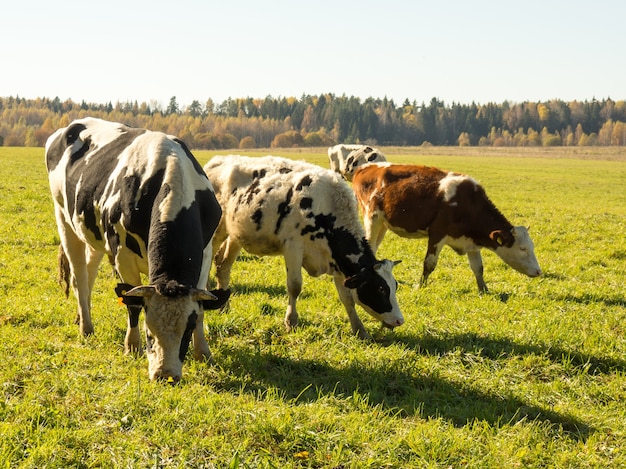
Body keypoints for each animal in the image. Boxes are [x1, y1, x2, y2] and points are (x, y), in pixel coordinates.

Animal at [202, 155, 402, 338]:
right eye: (380, 288)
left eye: (395, 285)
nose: (400, 320)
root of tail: (217, 160)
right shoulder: (293, 247)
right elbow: (295, 286)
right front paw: (291, 321)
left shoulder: (337, 260)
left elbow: (347, 297)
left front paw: (359, 329)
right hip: (216, 231)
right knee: (209, 261)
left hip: (236, 234)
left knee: (223, 266)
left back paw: (224, 306)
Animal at [352, 163, 540, 290]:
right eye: (522, 249)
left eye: (531, 246)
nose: (539, 271)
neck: (467, 203)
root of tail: (366, 168)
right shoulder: (437, 234)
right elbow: (429, 264)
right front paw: (421, 286)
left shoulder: (472, 243)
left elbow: (478, 268)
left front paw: (484, 289)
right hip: (372, 218)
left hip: (383, 224)